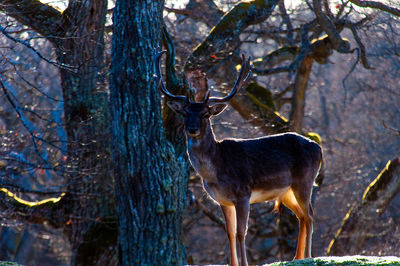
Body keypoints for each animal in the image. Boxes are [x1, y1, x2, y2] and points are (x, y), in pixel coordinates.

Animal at [155, 50, 324, 266]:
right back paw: (296, 257)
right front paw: (233, 263)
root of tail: (319, 148)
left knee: (310, 215)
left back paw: (309, 255)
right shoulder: (223, 200)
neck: (216, 171)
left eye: (205, 114)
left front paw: (244, 263)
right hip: (286, 192)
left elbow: (241, 232)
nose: (192, 129)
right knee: (301, 216)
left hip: (304, 180)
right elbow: (229, 233)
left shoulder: (243, 193)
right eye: (185, 113)